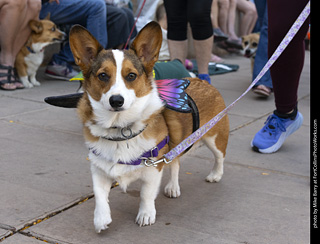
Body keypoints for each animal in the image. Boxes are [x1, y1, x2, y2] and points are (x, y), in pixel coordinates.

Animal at [69, 21, 229, 233]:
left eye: (131, 75)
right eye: (102, 75)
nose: (116, 101)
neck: (120, 129)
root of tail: (203, 80)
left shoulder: (153, 168)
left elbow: (146, 194)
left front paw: (146, 215)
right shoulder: (99, 168)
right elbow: (100, 196)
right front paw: (101, 219)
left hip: (214, 137)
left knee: (219, 157)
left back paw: (215, 175)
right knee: (176, 162)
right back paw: (173, 187)